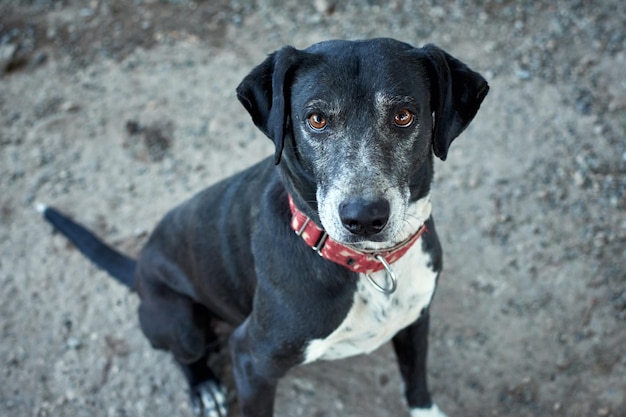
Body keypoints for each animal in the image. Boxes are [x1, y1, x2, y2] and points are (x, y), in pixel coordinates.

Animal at [39, 37, 488, 414]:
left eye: (403, 115)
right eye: (317, 119)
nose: (364, 218)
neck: (369, 265)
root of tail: (138, 266)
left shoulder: (416, 319)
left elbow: (417, 382)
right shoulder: (252, 360)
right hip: (178, 320)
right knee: (184, 353)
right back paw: (204, 387)